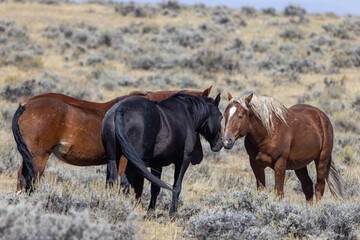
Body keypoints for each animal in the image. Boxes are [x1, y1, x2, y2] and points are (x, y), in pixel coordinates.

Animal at [12, 86, 212, 193]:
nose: (198, 155)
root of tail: (26, 105)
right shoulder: (127, 162)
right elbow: (133, 187)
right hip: (39, 157)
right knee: (31, 180)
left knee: (22, 177)